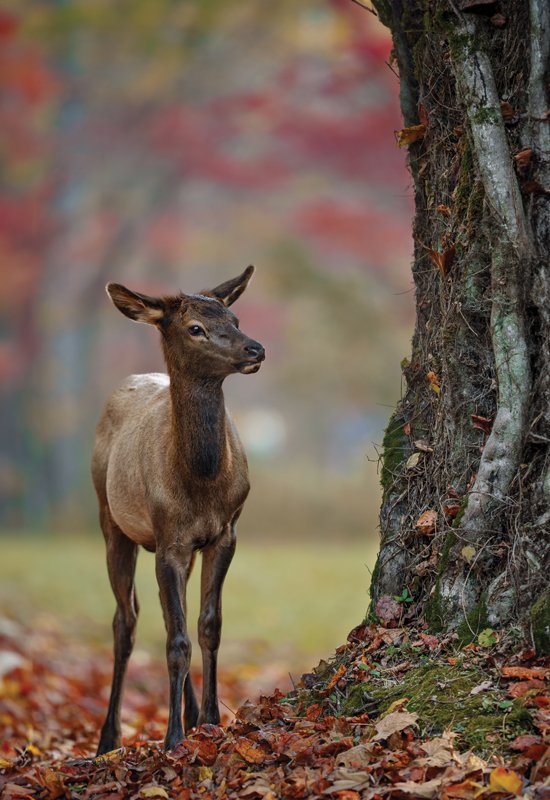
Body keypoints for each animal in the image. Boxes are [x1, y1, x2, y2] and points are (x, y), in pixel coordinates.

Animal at [92, 266, 266, 752]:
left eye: (235, 317)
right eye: (195, 328)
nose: (255, 348)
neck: (201, 484)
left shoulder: (225, 531)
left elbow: (207, 626)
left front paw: (210, 722)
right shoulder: (168, 536)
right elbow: (175, 642)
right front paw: (172, 740)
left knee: (169, 611)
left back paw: (188, 716)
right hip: (111, 517)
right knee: (126, 621)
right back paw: (108, 738)